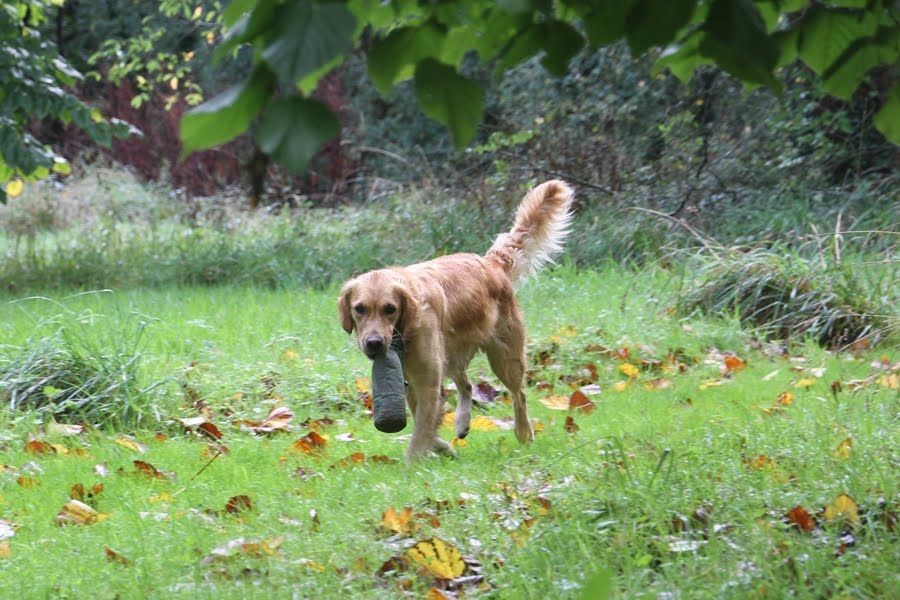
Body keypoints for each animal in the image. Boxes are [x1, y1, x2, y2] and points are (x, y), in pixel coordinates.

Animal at [338, 180, 574, 460]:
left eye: (390, 309)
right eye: (360, 309)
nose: (373, 343)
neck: (406, 331)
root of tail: (491, 262)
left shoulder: (427, 382)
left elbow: (420, 433)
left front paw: (413, 462)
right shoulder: (412, 382)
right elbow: (425, 425)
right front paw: (442, 447)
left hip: (505, 357)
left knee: (519, 394)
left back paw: (524, 432)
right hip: (452, 355)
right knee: (468, 385)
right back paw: (462, 423)